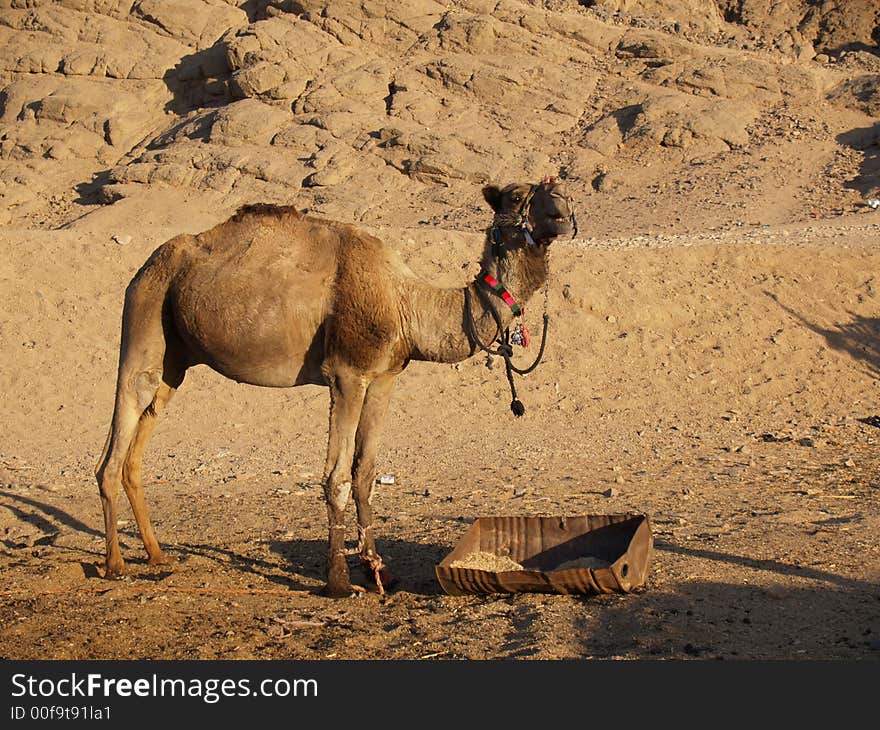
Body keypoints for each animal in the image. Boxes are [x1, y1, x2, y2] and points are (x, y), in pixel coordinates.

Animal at [96, 178, 576, 596]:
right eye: (517, 196)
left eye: (555, 188)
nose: (565, 209)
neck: (405, 302)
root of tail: (144, 268)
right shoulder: (346, 373)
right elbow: (337, 477)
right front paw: (340, 582)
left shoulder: (384, 377)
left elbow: (365, 473)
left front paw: (379, 571)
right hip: (144, 318)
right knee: (117, 438)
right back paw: (116, 565)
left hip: (174, 360)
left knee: (139, 442)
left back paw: (157, 555)